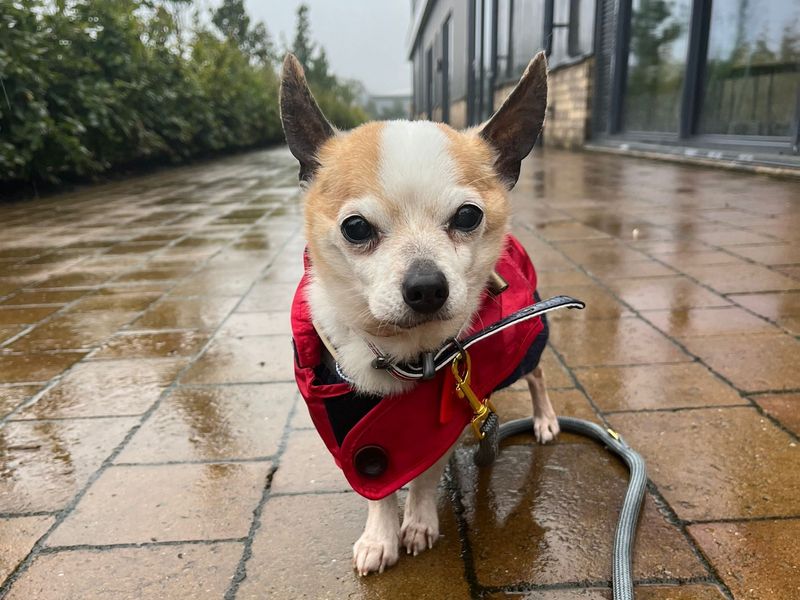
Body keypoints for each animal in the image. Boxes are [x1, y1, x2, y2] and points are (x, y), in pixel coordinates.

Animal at [282, 52, 556, 576]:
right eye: (355, 227)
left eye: (468, 217)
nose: (427, 286)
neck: (401, 355)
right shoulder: (352, 427)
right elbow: (376, 484)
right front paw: (379, 535)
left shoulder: (444, 417)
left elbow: (426, 473)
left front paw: (419, 520)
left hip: (528, 337)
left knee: (537, 375)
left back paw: (546, 419)